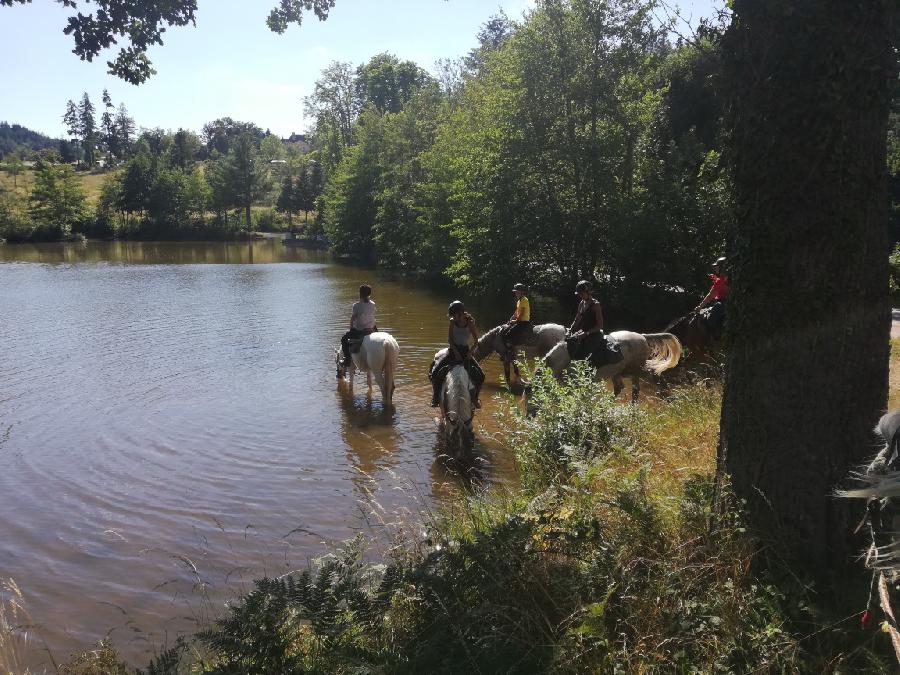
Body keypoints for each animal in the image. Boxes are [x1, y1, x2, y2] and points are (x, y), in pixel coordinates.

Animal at [536, 332, 680, 402]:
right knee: (624, 388)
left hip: (634, 369)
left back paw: (667, 395)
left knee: (650, 376)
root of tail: (643, 336)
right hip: (620, 372)